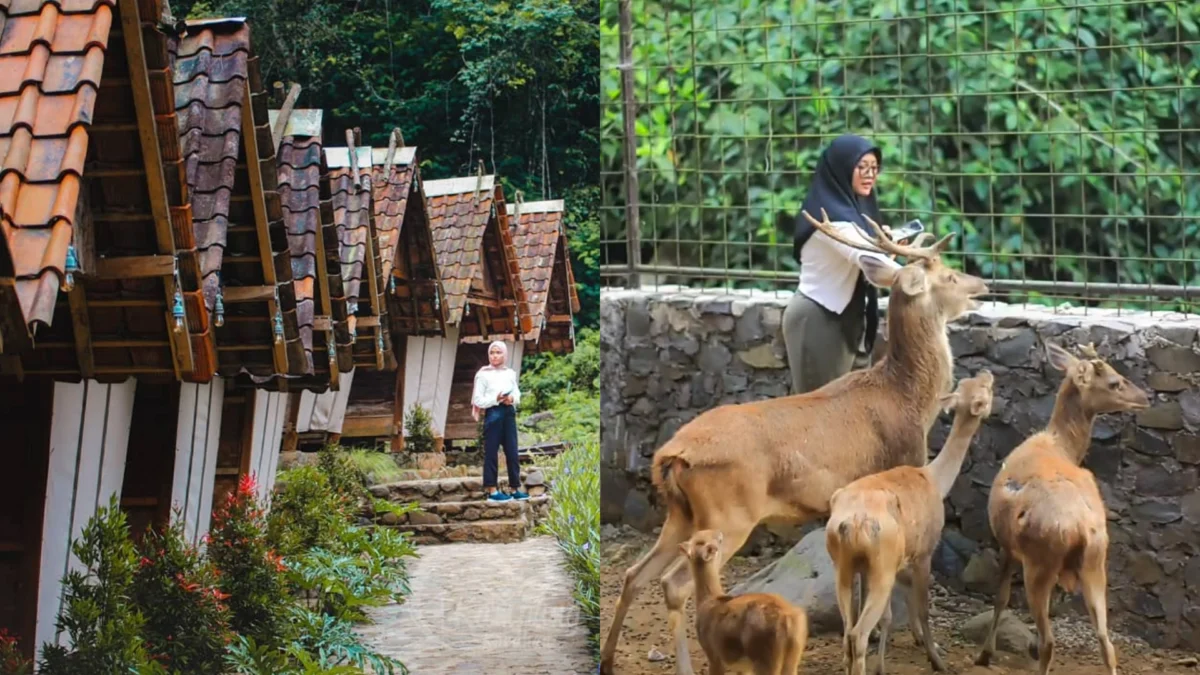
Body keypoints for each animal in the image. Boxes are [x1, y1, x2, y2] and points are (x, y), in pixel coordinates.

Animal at [681, 530, 811, 672]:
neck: (708, 600)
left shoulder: (713, 655)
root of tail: (786, 620)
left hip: (764, 658)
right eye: (698, 537)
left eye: (716, 538)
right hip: (792, 657)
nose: (719, 532)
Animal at [825, 369, 993, 667]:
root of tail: (851, 524)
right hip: (881, 567)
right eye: (984, 391)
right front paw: (937, 660)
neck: (935, 480)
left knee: (847, 631)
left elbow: (893, 614)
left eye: (967, 382)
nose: (987, 372)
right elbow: (922, 608)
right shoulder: (925, 551)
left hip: (843, 565)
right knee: (858, 633)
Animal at [974, 341, 1152, 672]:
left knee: (1050, 642)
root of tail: (1081, 529)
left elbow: (1001, 597)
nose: (1144, 398)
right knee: (1106, 641)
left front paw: (985, 654)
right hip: (1095, 561)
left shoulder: (1007, 544)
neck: (1060, 445)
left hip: (1040, 561)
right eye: (1114, 382)